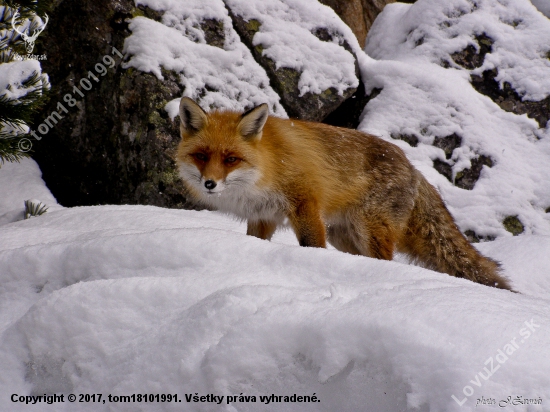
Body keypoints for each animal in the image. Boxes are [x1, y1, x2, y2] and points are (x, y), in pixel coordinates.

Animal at [177, 97, 512, 292]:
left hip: (369, 229)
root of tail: (413, 168)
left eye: (231, 159)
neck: (265, 167)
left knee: (385, 260)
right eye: (202, 156)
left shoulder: (305, 203)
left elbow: (311, 244)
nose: (210, 184)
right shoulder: (263, 216)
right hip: (344, 236)